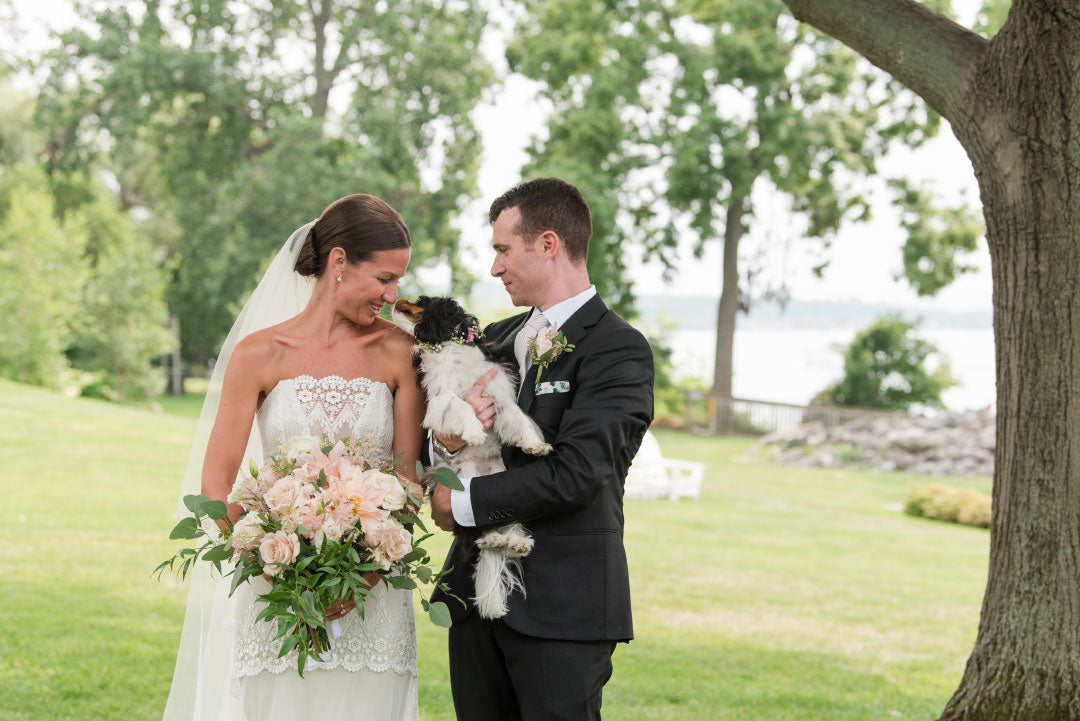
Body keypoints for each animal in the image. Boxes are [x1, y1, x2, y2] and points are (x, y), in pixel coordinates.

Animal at [393, 295, 552, 617]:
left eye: (420, 302)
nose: (398, 299)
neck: (450, 346)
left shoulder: (499, 393)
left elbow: (519, 419)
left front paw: (534, 445)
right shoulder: (442, 399)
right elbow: (464, 406)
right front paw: (476, 432)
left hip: (501, 482)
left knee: (504, 517)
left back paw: (517, 542)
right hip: (466, 480)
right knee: (478, 526)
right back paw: (493, 538)